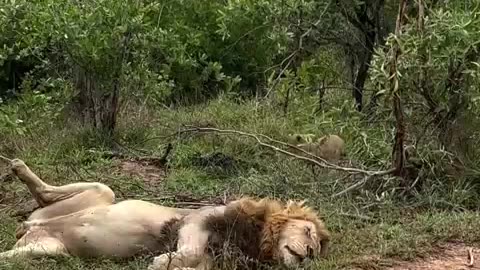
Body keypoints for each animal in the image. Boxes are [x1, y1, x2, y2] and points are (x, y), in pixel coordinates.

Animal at [0, 159, 330, 268]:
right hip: (104, 193)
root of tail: (31, 227)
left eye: (315, 250)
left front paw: (166, 264)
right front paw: (161, 260)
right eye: (308, 233)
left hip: (49, 251)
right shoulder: (197, 220)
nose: (309, 253)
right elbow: (187, 248)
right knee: (50, 193)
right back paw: (18, 167)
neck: (257, 240)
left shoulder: (211, 262)